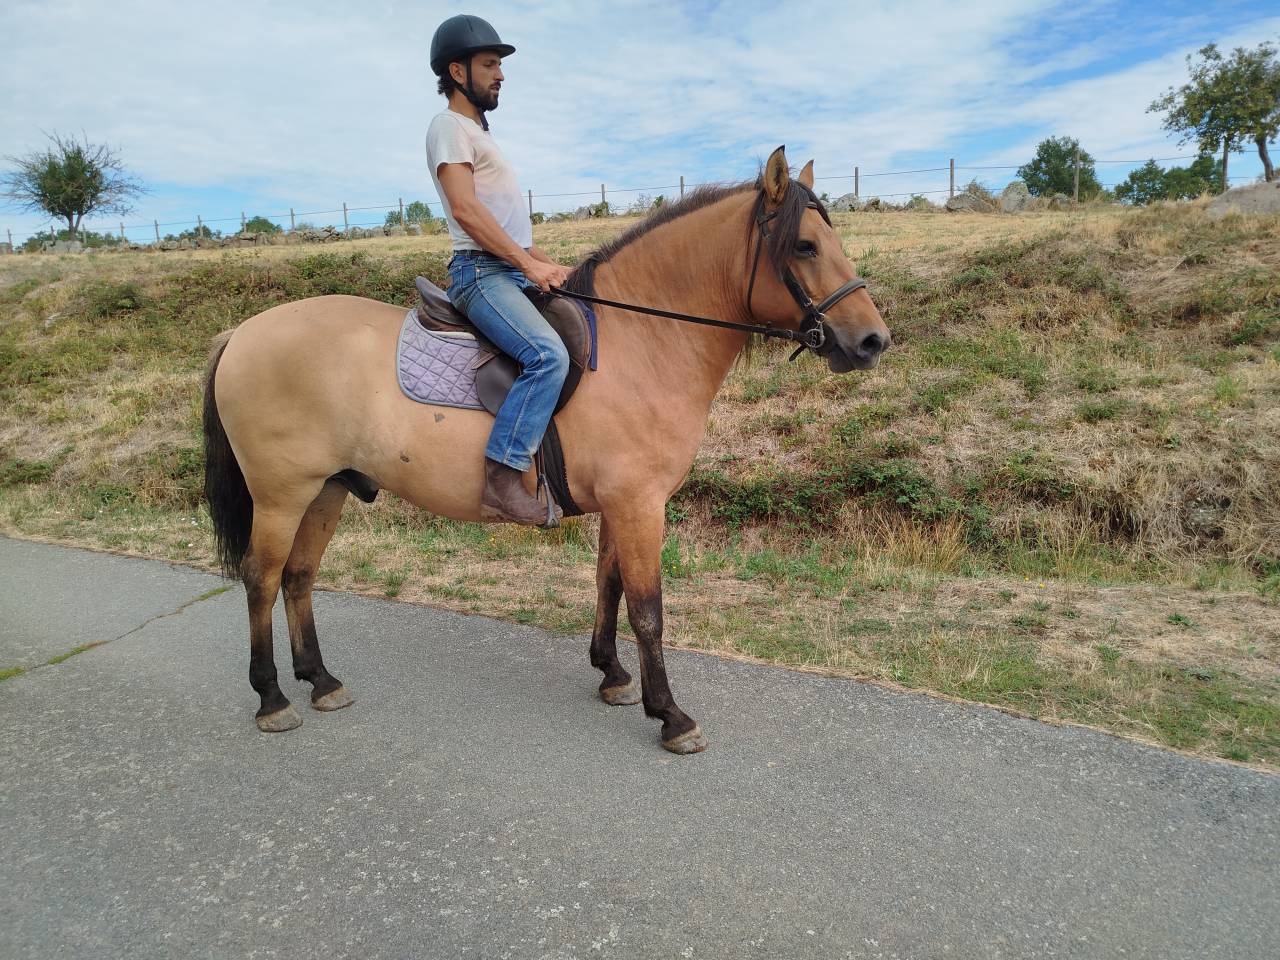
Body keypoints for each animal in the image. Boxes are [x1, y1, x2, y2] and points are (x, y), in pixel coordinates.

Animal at [202, 146, 890, 754]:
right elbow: (648, 608)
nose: (873, 341)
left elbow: (609, 585)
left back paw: (320, 681)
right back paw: (272, 698)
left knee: (299, 577)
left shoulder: (623, 505)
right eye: (805, 246)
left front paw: (613, 674)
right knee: (262, 579)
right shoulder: (640, 504)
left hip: (328, 489)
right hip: (282, 494)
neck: (640, 340)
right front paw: (669, 715)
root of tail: (242, 332)